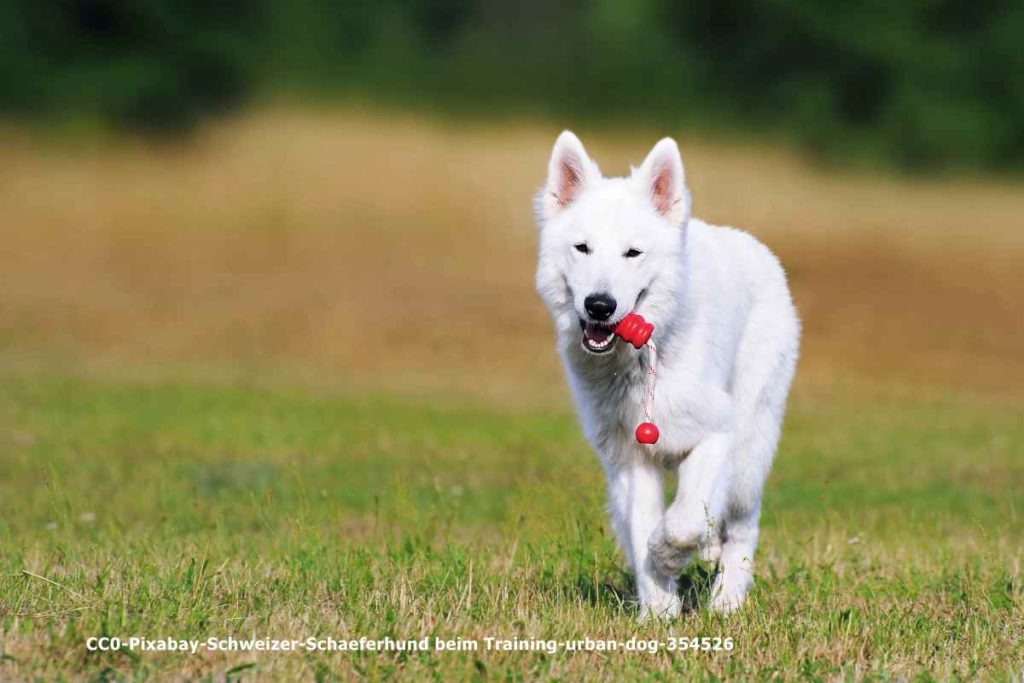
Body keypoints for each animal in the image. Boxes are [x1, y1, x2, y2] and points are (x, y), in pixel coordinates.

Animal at [536, 131, 798, 618]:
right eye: (582, 248)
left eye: (632, 253)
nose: (599, 305)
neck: (641, 363)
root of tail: (756, 248)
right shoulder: (631, 460)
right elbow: (643, 528)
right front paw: (658, 611)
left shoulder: (718, 434)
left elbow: (683, 521)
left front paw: (669, 556)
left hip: (750, 448)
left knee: (742, 525)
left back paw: (727, 601)